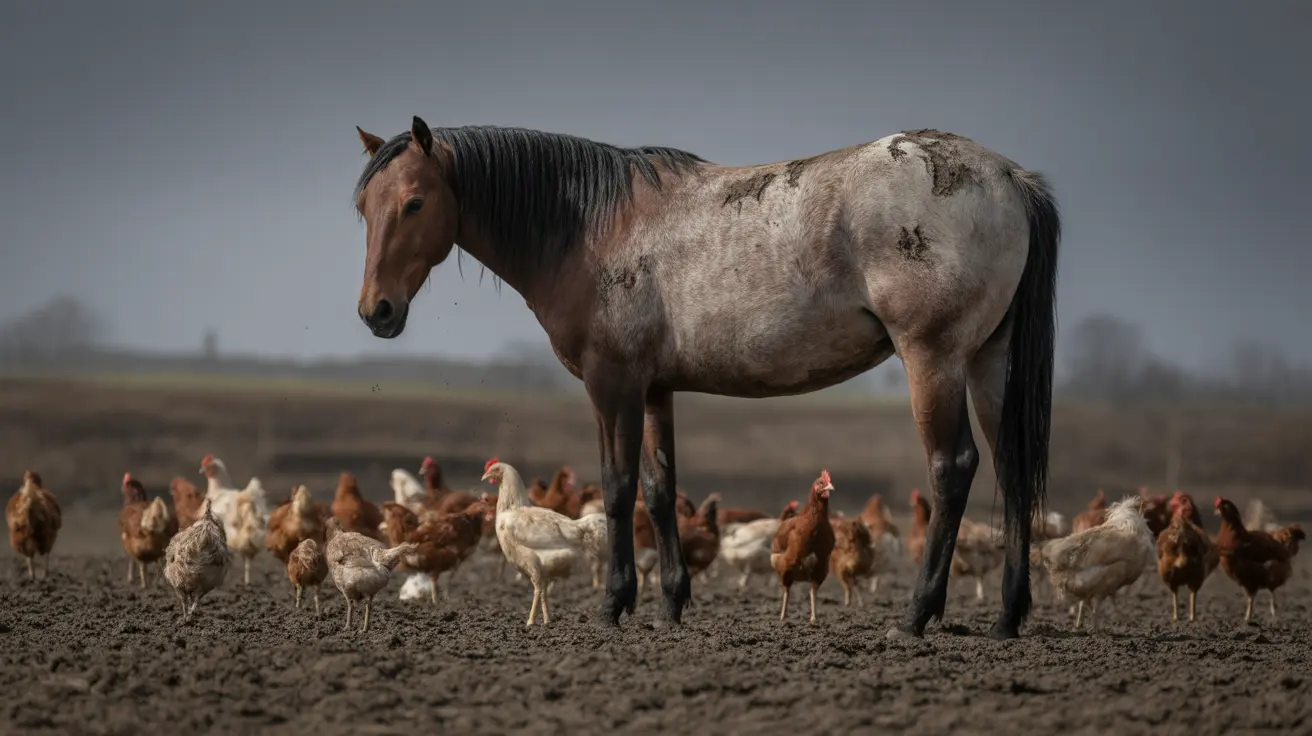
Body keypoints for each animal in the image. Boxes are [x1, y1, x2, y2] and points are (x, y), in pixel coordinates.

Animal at [351, 117, 1059, 640]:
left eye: (414, 202)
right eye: (364, 207)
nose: (375, 312)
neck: (591, 229)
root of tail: (1008, 177)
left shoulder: (612, 385)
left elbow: (618, 488)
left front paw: (614, 605)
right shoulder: (655, 390)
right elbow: (661, 489)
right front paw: (671, 602)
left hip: (932, 358)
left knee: (953, 467)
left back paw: (916, 615)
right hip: (987, 361)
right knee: (1011, 467)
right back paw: (1007, 616)